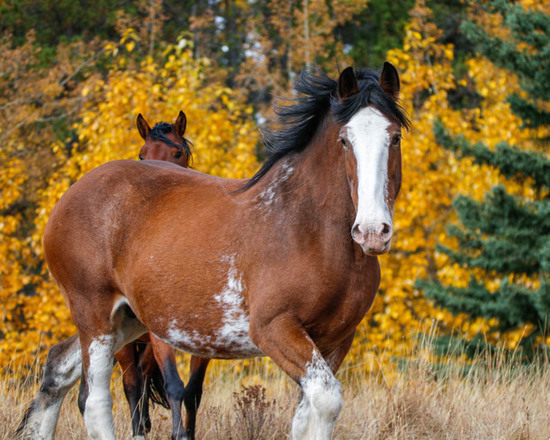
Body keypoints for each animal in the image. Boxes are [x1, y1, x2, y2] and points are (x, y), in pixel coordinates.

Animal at [40, 63, 410, 438]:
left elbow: (305, 416)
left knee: (59, 367)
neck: (308, 229)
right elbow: (326, 399)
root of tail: (69, 197)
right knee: (96, 400)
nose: (372, 231)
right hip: (95, 313)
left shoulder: (336, 340)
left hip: (127, 318)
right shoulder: (273, 328)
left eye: (395, 138)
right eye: (344, 140)